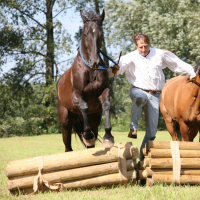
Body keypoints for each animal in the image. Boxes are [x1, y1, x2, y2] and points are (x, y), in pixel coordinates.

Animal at [56, 9, 114, 152]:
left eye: (101, 34)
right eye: (86, 34)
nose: (95, 62)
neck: (90, 70)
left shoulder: (104, 91)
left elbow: (106, 104)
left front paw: (108, 137)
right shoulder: (76, 94)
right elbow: (84, 106)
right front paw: (87, 135)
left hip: (94, 118)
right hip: (65, 123)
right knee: (68, 146)